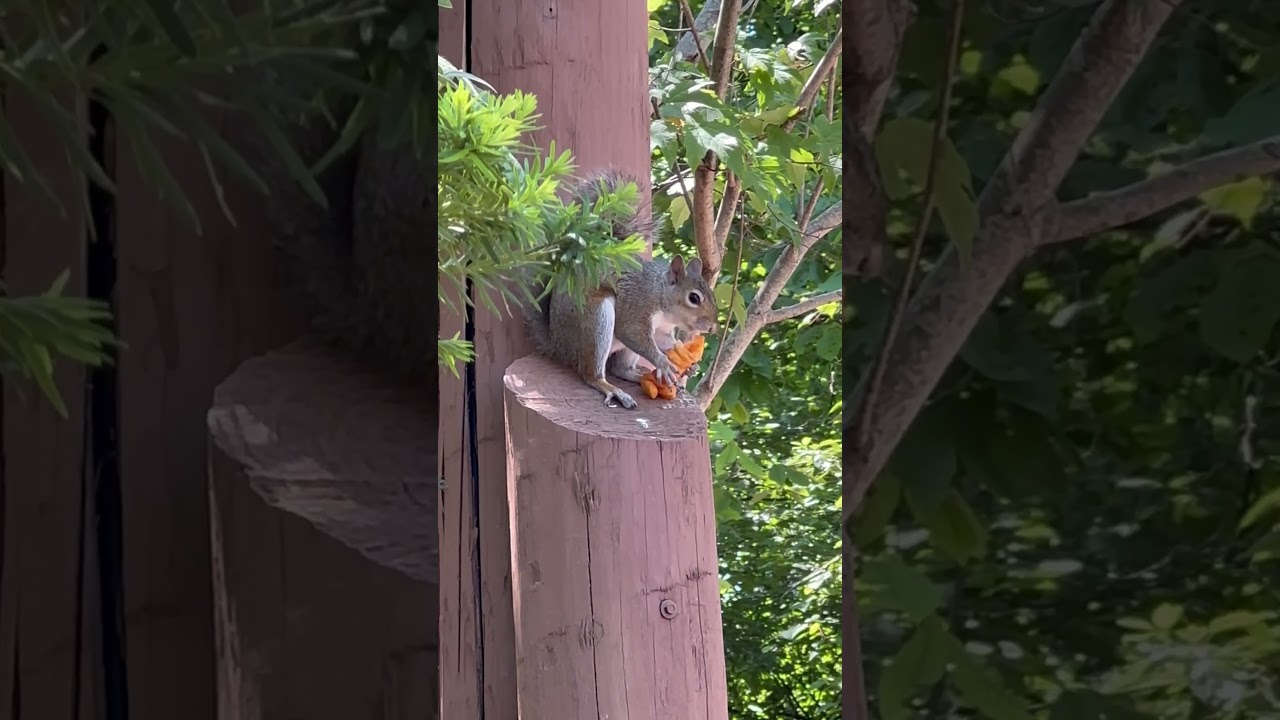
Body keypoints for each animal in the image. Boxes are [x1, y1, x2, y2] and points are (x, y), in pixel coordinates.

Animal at [524, 172, 721, 409]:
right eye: (694, 298)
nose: (711, 328)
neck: (661, 297)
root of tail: (557, 344)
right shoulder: (637, 305)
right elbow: (632, 333)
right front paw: (663, 362)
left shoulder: (661, 330)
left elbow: (664, 341)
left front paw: (686, 360)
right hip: (595, 320)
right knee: (590, 374)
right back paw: (612, 389)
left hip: (622, 349)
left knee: (619, 369)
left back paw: (639, 376)